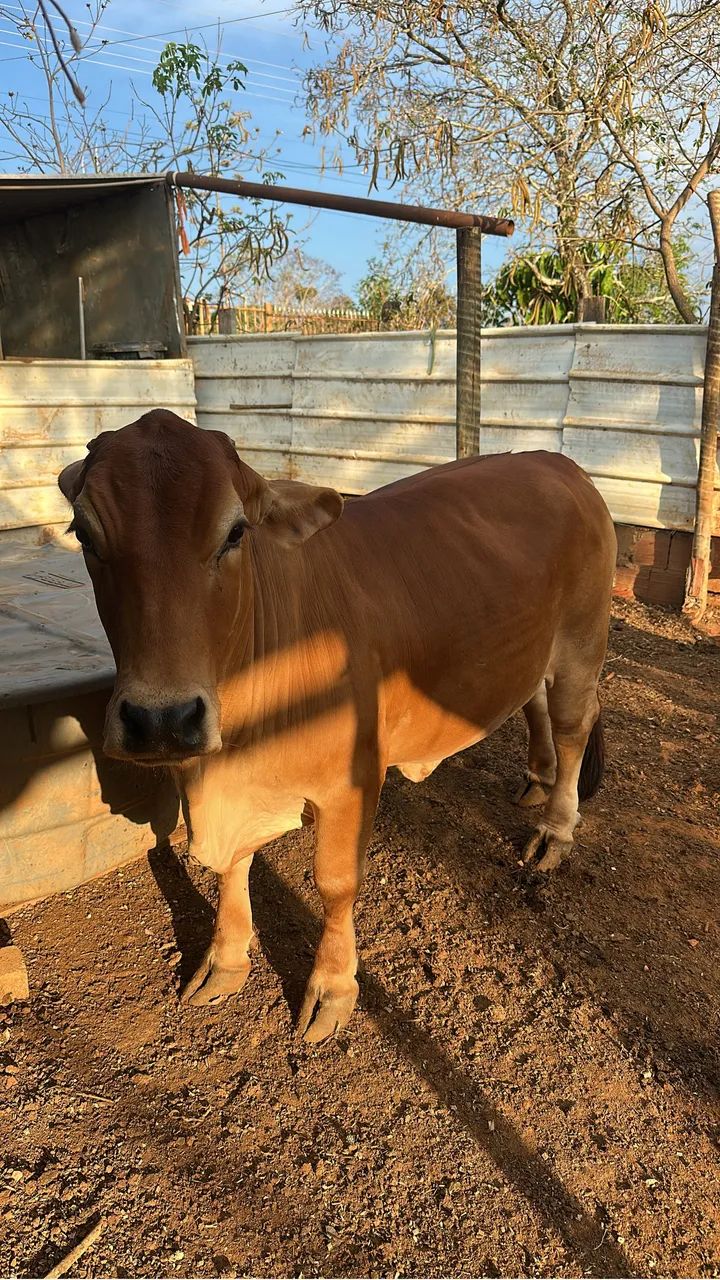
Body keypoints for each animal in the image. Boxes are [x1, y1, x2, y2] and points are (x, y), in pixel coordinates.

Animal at [58, 411, 617, 1043]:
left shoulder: (353, 779)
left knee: (573, 724)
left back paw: (555, 829)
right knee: (536, 705)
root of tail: (559, 463)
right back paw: (537, 780)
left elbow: (335, 882)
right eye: (84, 535)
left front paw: (332, 986)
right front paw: (223, 960)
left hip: (581, 643)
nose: (161, 719)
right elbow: (232, 865)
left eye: (235, 533)